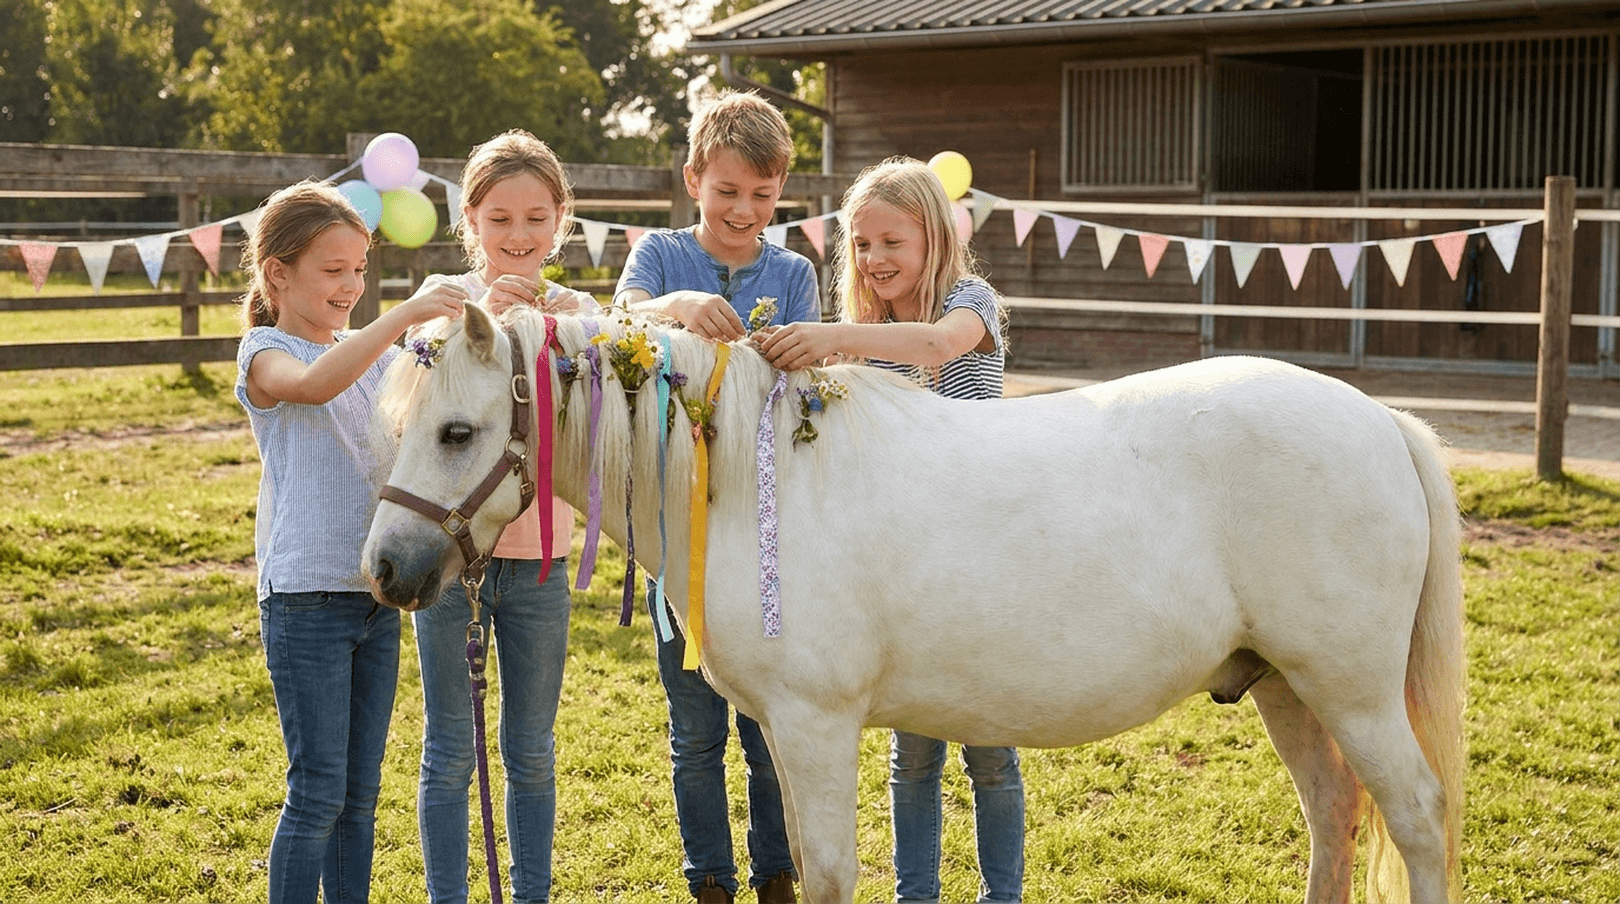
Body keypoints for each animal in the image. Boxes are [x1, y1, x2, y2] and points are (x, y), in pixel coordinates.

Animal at [363, 302, 1465, 904]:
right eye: (403, 425)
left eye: (458, 432)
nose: (386, 570)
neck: (753, 480)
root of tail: (1383, 422)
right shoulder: (789, 733)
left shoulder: (816, 726)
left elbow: (829, 872)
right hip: (1287, 685)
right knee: (1334, 813)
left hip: (1351, 690)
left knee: (1414, 818)